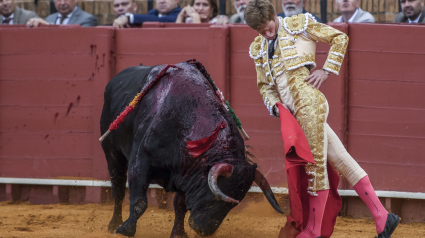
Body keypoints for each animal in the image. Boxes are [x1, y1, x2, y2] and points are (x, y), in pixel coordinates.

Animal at [100, 61, 284, 236]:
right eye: (217, 197)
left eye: (233, 205)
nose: (204, 231)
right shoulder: (140, 164)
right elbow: (139, 202)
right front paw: (125, 230)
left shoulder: (187, 172)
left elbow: (179, 205)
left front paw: (178, 234)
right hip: (112, 152)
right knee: (118, 188)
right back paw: (113, 224)